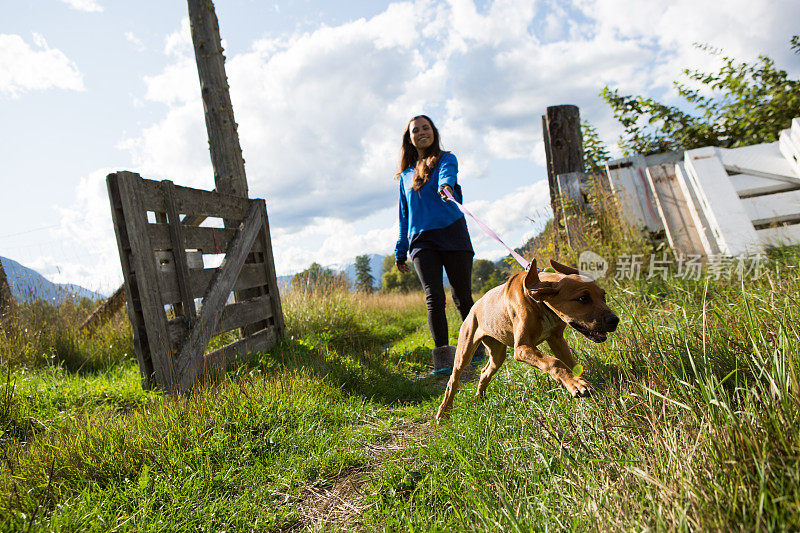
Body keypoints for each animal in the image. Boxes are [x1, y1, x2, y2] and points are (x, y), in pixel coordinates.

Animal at [438, 258, 620, 420]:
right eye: (583, 298)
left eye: (603, 296)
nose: (614, 320)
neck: (539, 302)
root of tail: (475, 306)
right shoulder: (522, 348)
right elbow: (554, 362)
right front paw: (576, 384)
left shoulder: (557, 339)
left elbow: (571, 364)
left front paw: (580, 381)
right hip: (465, 350)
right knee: (453, 380)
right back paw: (444, 413)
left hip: (497, 353)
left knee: (485, 372)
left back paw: (480, 399)